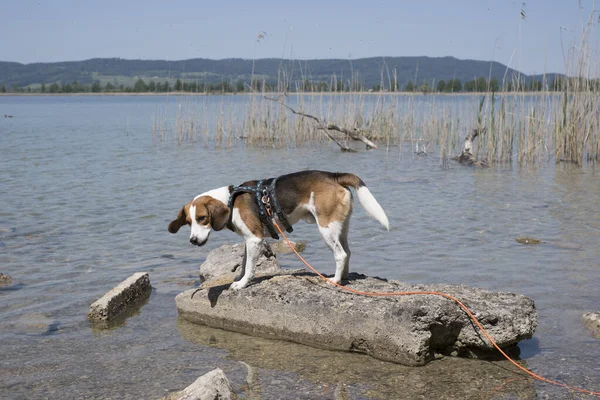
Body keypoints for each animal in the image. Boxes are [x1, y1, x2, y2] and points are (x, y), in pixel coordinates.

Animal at [168, 170, 390, 290]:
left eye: (202, 219)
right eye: (188, 222)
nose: (193, 241)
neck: (230, 201)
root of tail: (333, 176)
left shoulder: (255, 239)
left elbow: (250, 267)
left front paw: (242, 284)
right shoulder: (249, 240)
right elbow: (244, 264)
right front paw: (239, 279)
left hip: (326, 229)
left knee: (341, 254)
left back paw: (334, 280)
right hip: (340, 227)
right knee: (348, 252)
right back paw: (343, 277)